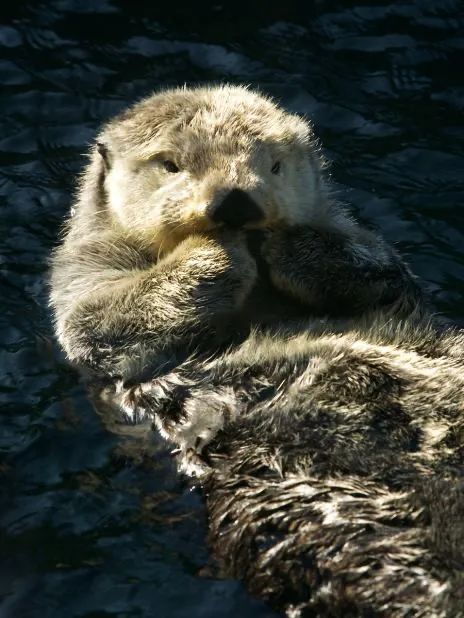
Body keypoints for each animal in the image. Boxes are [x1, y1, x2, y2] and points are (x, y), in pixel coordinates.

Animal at [49, 85, 462, 616]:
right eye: (171, 164)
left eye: (275, 165)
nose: (235, 201)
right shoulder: (84, 276)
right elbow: (99, 323)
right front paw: (217, 254)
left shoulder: (388, 283)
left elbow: (387, 274)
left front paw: (290, 246)